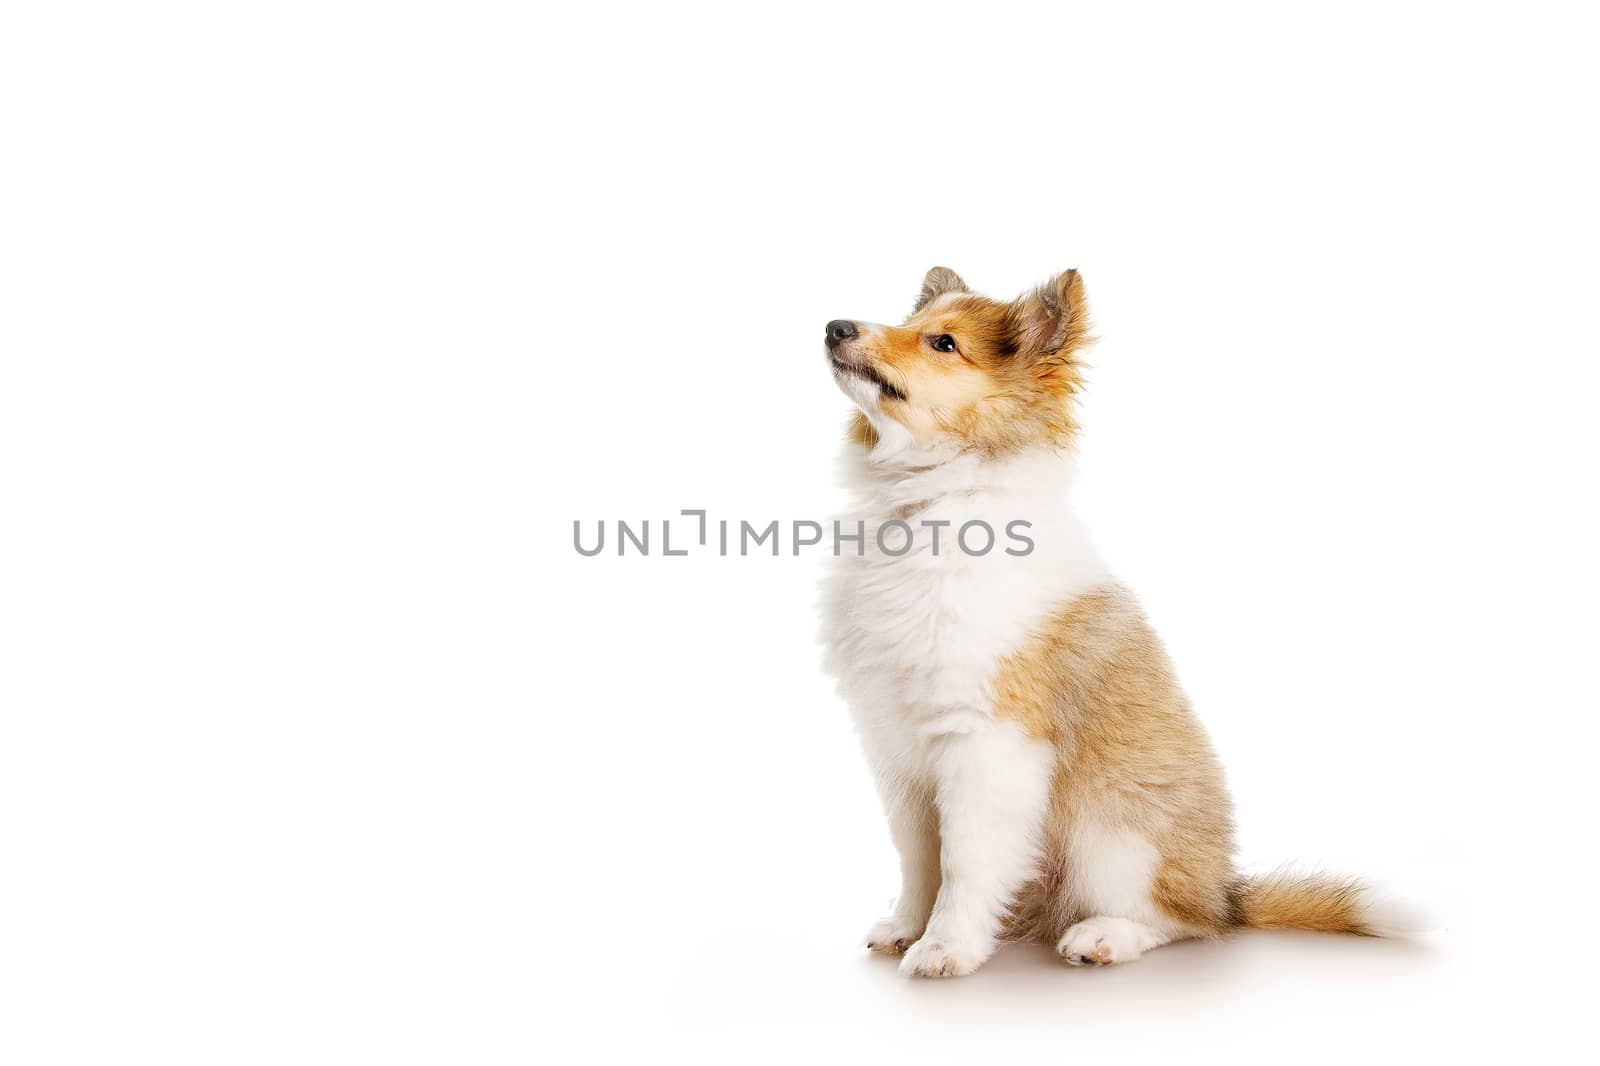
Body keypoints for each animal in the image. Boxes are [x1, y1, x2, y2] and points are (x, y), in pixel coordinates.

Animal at [819, 270, 1395, 973]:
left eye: (944, 343)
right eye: (916, 325)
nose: (835, 328)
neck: (929, 505)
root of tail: (1226, 892)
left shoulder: (986, 741)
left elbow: (964, 862)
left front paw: (946, 947)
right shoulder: (896, 747)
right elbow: (918, 858)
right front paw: (909, 927)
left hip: (1111, 834)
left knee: (1181, 921)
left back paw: (1103, 937)